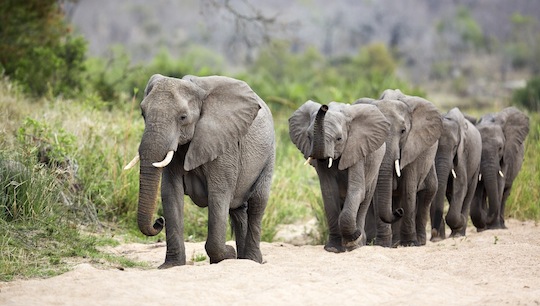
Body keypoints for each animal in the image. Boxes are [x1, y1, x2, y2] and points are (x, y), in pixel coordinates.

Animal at [123, 74, 274, 268]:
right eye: (143, 113)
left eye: (183, 117)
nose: (158, 221)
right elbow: (170, 192)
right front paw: (171, 266)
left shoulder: (225, 145)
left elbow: (219, 194)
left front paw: (227, 254)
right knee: (238, 210)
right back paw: (242, 259)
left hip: (268, 155)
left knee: (257, 202)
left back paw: (251, 260)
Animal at [288, 101, 390, 252]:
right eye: (308, 137)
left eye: (339, 139)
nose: (324, 107)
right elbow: (329, 193)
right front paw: (333, 249)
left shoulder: (356, 149)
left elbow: (356, 191)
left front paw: (353, 239)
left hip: (375, 168)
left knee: (364, 200)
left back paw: (357, 244)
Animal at [356, 89, 440, 246]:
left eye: (403, 131)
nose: (399, 212)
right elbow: (377, 194)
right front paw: (382, 244)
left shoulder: (412, 146)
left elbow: (408, 189)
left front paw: (409, 243)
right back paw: (394, 243)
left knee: (428, 193)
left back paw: (419, 241)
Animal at [430, 107, 480, 241]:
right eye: (435, 145)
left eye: (455, 147)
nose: (434, 233)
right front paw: (437, 239)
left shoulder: (462, 154)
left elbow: (460, 184)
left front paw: (460, 221)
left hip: (477, 164)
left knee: (468, 194)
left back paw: (458, 233)